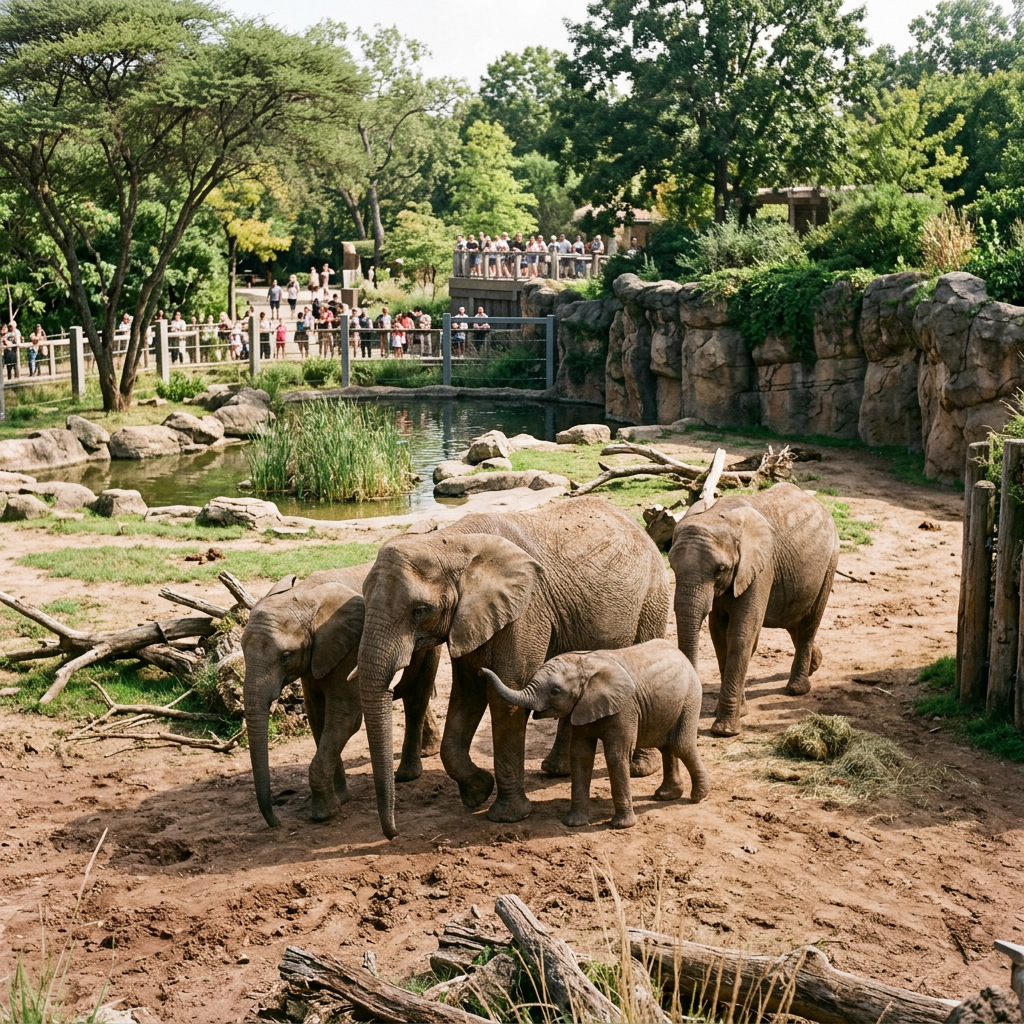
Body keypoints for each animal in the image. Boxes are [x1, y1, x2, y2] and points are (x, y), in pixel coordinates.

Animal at [241, 565, 440, 828]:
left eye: (285, 656)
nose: (277, 822)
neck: (304, 595)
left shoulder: (350, 646)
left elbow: (345, 718)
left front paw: (325, 813)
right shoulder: (316, 656)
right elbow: (318, 717)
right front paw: (341, 798)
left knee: (417, 695)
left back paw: (407, 774)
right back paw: (429, 750)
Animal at [357, 497, 672, 838]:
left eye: (419, 611)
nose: (393, 834)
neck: (450, 543)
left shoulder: (525, 611)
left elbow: (505, 696)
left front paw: (506, 817)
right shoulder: (469, 618)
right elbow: (467, 693)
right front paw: (478, 792)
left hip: (653, 595)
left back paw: (640, 769)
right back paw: (555, 770)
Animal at [483, 638, 710, 829]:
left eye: (555, 691)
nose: (481, 671)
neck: (585, 664)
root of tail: (683, 656)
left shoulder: (625, 708)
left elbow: (616, 756)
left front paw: (621, 826)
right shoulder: (582, 707)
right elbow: (580, 755)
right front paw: (573, 823)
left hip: (691, 698)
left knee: (681, 745)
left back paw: (698, 797)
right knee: (668, 747)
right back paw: (667, 795)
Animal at [669, 481, 839, 737]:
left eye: (720, 569)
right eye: (671, 566)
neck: (719, 515)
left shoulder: (761, 567)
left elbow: (741, 634)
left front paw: (725, 730)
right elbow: (720, 635)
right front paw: (741, 712)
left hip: (830, 561)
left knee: (809, 623)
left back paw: (797, 689)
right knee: (792, 620)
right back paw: (814, 664)